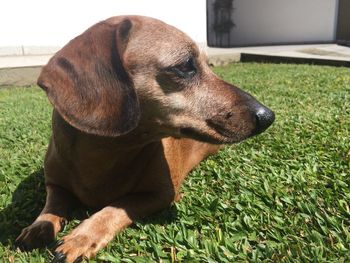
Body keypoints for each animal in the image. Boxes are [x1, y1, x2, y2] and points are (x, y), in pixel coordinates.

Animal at [15, 15, 274, 262]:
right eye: (186, 65)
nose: (268, 116)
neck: (105, 153)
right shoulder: (54, 184)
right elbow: (53, 204)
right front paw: (39, 226)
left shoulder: (161, 195)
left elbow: (117, 205)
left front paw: (82, 237)